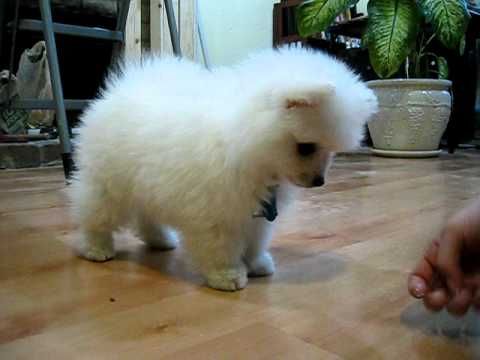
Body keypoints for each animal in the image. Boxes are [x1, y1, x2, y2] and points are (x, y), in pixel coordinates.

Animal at [69, 46, 376, 292]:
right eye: (306, 147)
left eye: (330, 150)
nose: (319, 181)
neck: (245, 140)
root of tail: (122, 89)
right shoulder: (216, 212)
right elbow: (221, 247)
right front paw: (227, 276)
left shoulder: (257, 211)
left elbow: (255, 241)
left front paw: (256, 264)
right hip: (108, 184)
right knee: (95, 215)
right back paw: (97, 248)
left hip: (146, 184)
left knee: (147, 216)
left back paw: (161, 240)